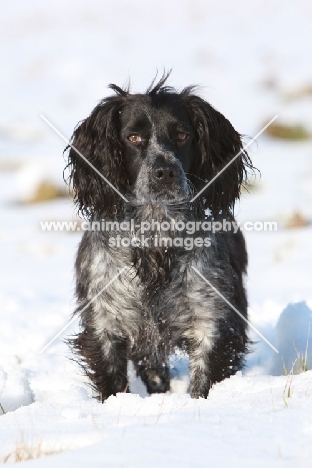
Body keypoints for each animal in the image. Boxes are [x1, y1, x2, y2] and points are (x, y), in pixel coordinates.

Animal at [66, 74, 254, 402]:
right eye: (133, 138)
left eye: (182, 135)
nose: (164, 170)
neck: (155, 236)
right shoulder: (104, 321)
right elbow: (112, 381)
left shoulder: (213, 319)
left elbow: (205, 380)